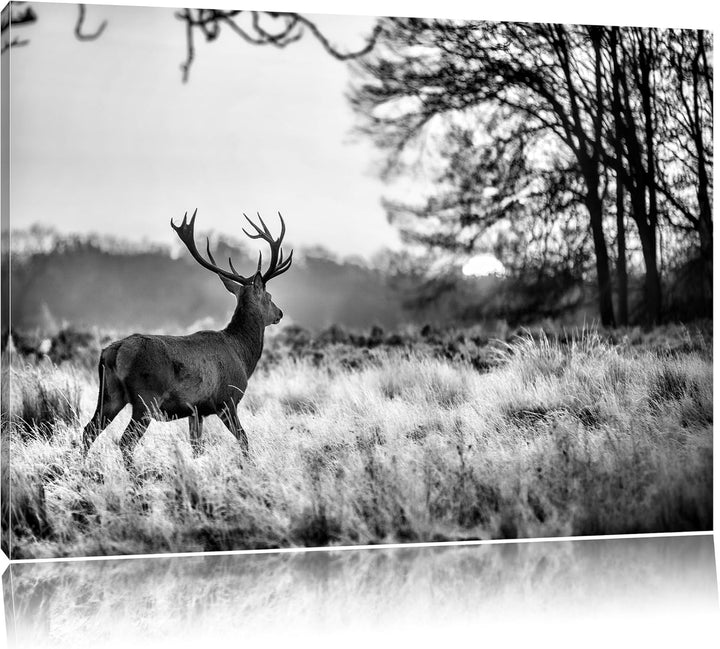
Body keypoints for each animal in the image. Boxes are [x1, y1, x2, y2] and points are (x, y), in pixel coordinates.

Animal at [81, 209, 293, 470]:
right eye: (269, 296)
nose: (280, 313)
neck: (242, 354)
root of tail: (113, 352)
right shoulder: (226, 400)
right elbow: (244, 440)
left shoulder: (196, 411)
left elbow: (197, 448)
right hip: (145, 399)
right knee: (125, 441)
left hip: (109, 395)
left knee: (88, 431)